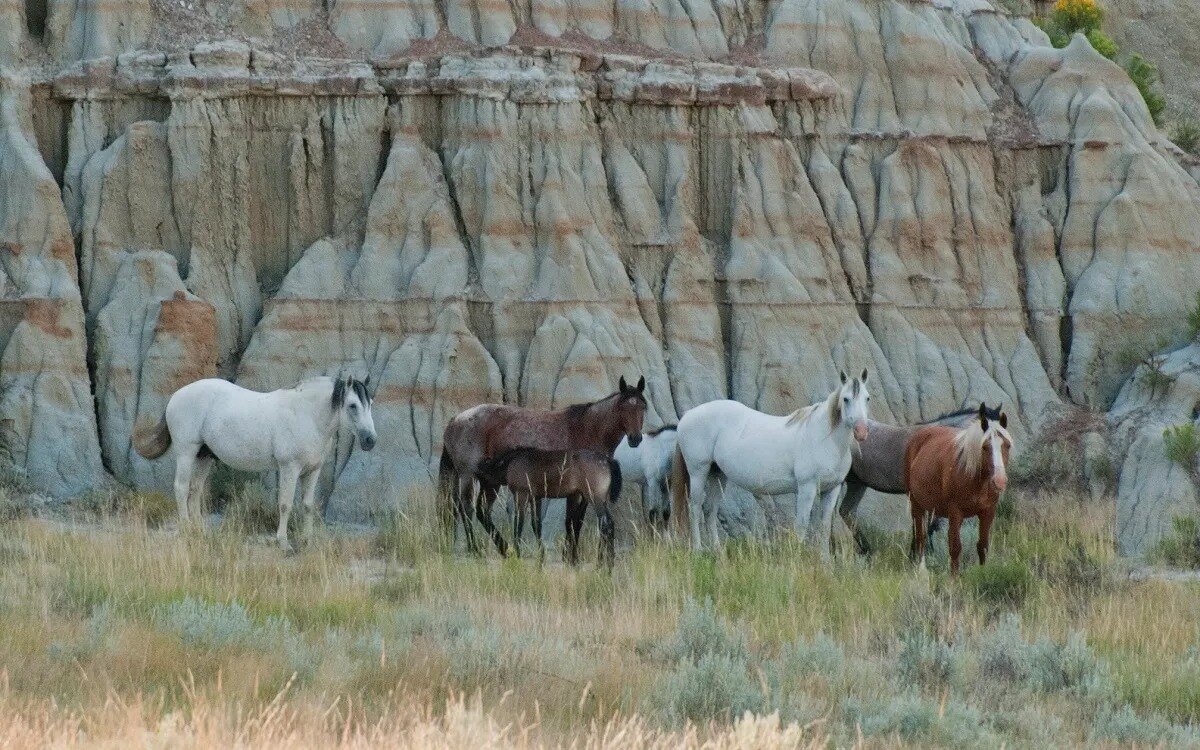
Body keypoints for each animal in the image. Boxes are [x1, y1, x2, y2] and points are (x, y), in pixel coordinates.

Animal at [134, 375, 377, 551]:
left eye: (370, 403)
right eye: (353, 405)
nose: (370, 440)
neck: (306, 415)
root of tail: (176, 396)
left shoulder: (312, 471)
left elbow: (308, 505)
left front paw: (307, 541)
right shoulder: (289, 468)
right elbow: (285, 504)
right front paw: (283, 543)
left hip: (204, 457)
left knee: (195, 491)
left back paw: (199, 531)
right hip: (186, 452)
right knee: (182, 488)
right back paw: (186, 529)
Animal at [479, 447, 622, 568]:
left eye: (482, 481)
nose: (481, 502)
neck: (513, 462)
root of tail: (607, 460)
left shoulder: (522, 496)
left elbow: (518, 525)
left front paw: (517, 554)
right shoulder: (536, 498)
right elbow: (536, 524)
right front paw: (540, 558)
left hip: (595, 499)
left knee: (605, 524)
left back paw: (603, 564)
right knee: (609, 524)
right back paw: (607, 563)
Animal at [670, 371, 871, 557]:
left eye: (867, 398)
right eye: (845, 399)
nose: (861, 431)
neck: (823, 438)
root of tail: (688, 415)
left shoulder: (832, 489)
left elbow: (824, 526)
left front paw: (825, 562)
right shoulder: (807, 488)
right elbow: (802, 524)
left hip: (717, 475)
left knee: (710, 510)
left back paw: (717, 551)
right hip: (698, 472)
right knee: (695, 508)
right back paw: (697, 550)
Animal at [903, 403, 1012, 575]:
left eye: (1007, 445)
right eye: (985, 446)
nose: (999, 481)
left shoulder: (988, 512)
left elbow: (983, 546)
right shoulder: (955, 512)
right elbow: (955, 548)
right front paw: (953, 579)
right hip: (916, 504)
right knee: (920, 537)